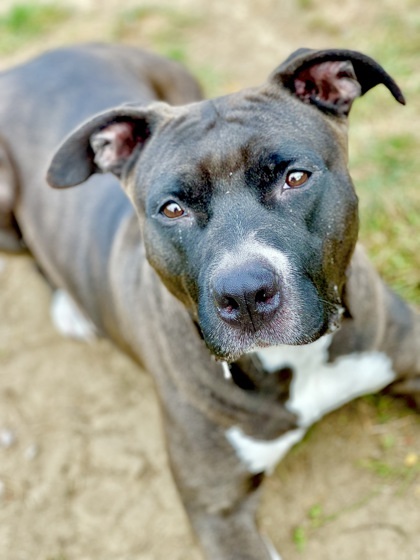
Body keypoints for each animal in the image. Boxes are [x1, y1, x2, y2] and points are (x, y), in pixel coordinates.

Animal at [0, 43, 418, 560]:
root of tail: (35, 61)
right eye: (172, 209)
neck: (297, 361)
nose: (245, 294)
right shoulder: (219, 514)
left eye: (295, 177)